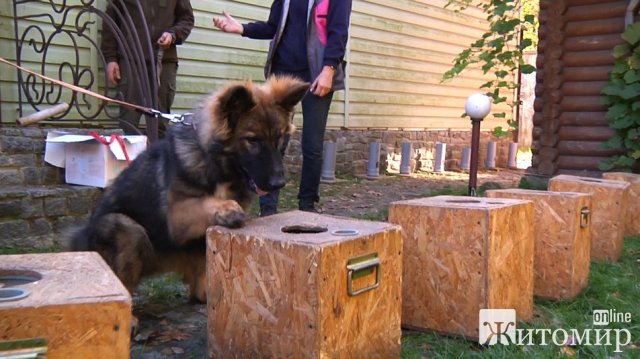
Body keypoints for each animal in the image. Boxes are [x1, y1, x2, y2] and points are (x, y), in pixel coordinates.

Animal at [71, 76, 308, 304]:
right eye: (253, 140)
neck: (214, 162)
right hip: (126, 228)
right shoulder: (176, 215)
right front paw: (227, 208)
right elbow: (206, 201)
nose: (279, 183)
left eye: (279, 139)